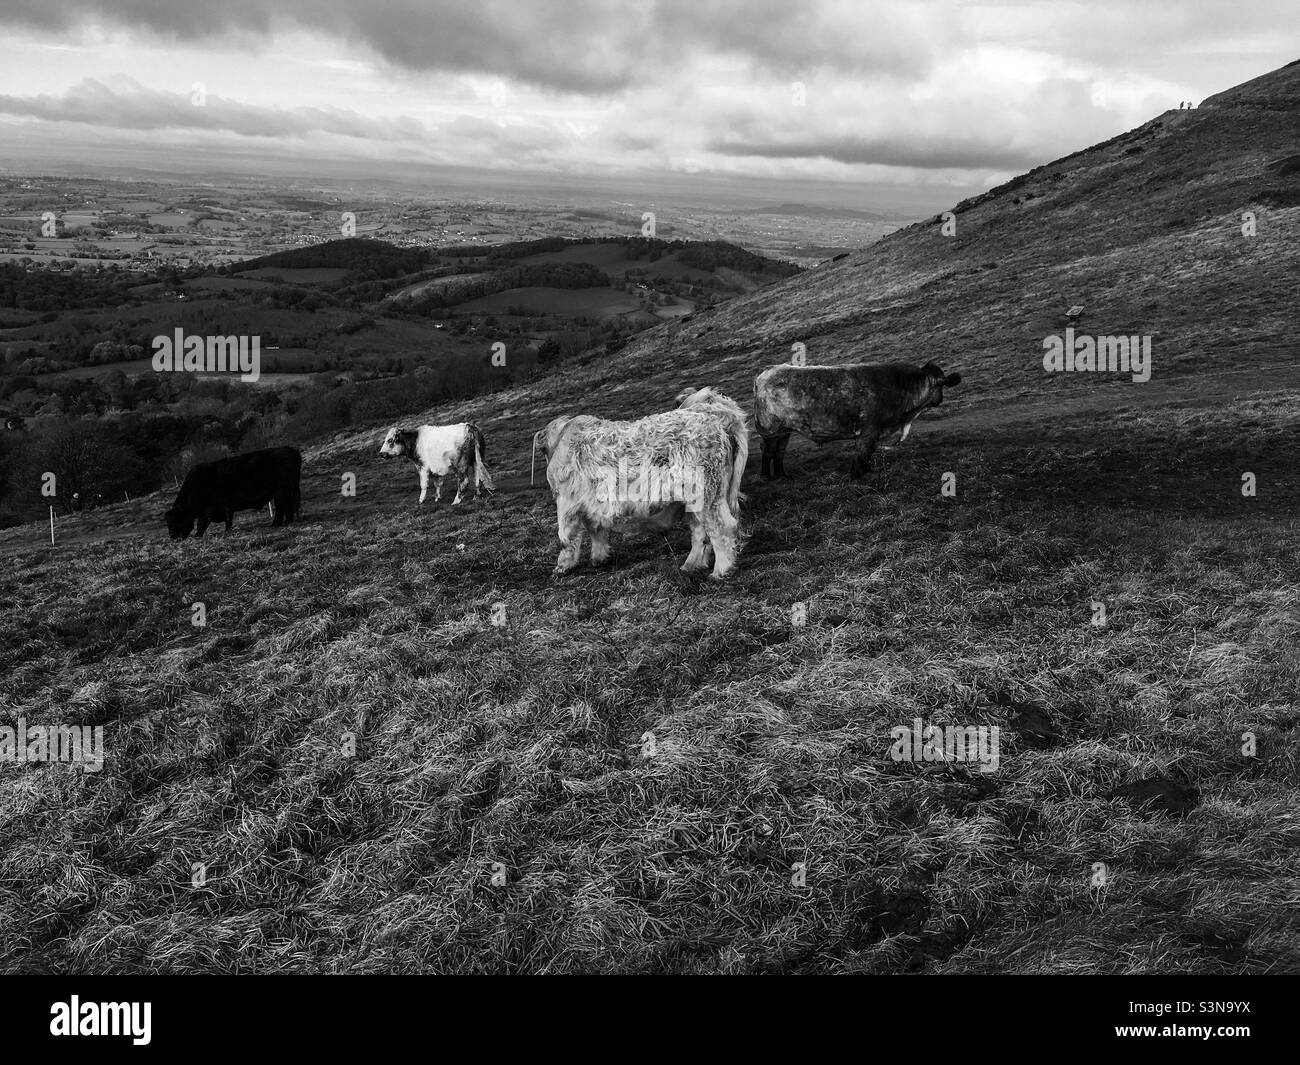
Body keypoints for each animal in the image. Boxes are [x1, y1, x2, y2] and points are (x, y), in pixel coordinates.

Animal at [163, 444, 300, 538]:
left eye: (173, 522)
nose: (172, 537)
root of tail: (290, 449)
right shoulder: (226, 507)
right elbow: (227, 520)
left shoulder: (209, 509)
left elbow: (202, 523)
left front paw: (198, 535)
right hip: (282, 492)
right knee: (283, 507)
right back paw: (279, 523)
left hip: (282, 491)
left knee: (284, 507)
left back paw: (283, 523)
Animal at [533, 387, 748, 579]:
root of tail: (714, 416)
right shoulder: (592, 504)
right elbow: (596, 529)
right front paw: (599, 558)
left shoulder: (566, 502)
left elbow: (566, 537)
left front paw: (562, 567)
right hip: (698, 498)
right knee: (700, 531)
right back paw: (691, 566)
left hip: (706, 494)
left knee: (721, 527)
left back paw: (721, 571)